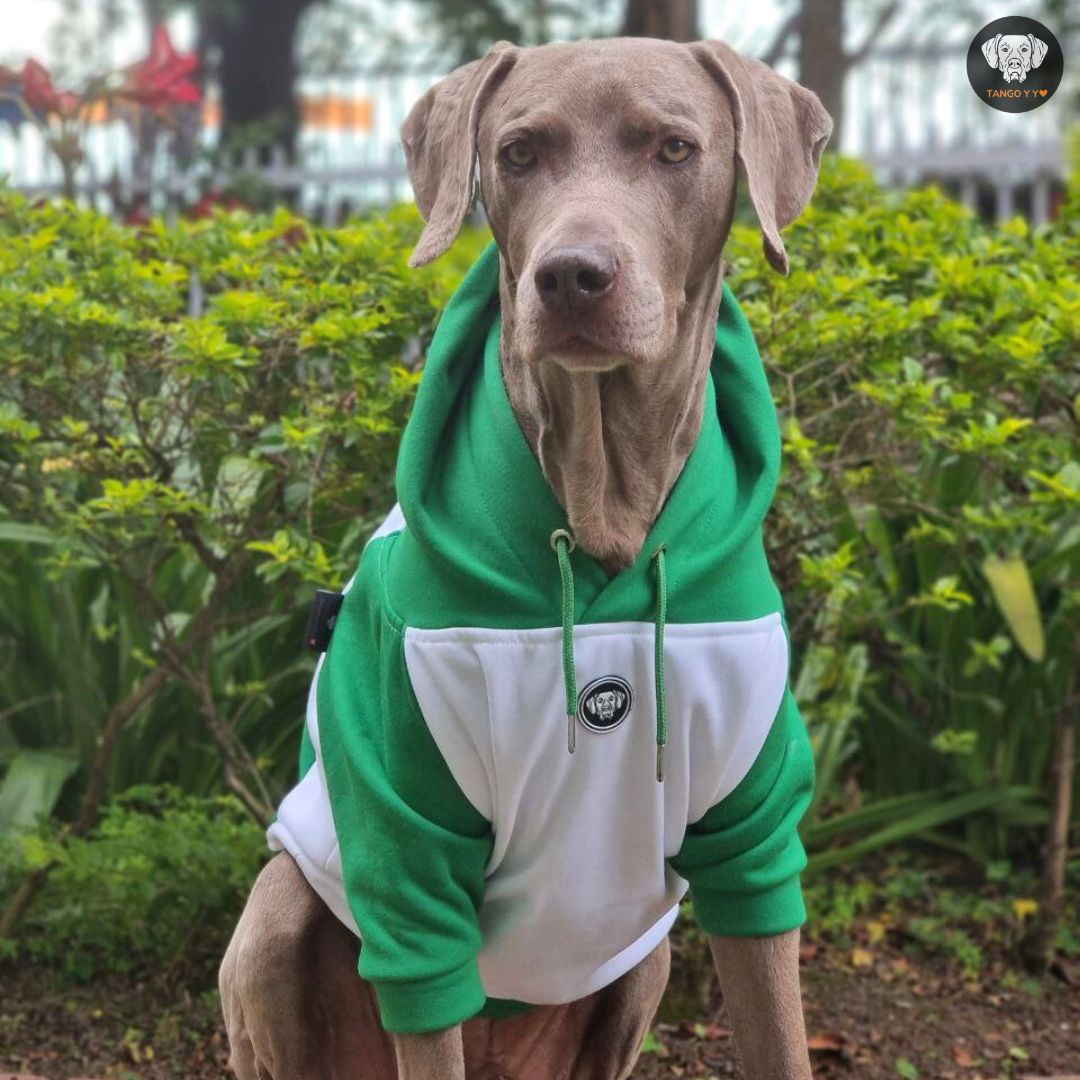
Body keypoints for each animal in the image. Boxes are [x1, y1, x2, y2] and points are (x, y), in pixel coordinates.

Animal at [217, 33, 825, 1080]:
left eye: (675, 148)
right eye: (518, 153)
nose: (572, 276)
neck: (604, 516)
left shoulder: (753, 828)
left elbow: (778, 1029)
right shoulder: (407, 845)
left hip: (647, 959)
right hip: (276, 911)